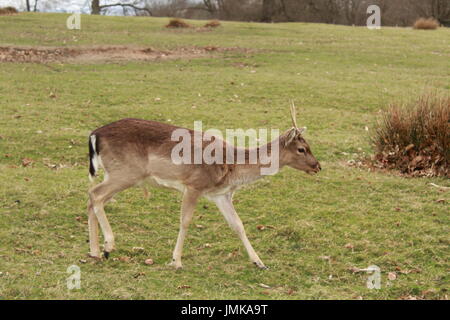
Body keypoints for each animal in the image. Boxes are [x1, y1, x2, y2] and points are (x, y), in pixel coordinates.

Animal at [87, 104, 320, 268]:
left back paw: (95, 251)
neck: (232, 167)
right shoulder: (194, 185)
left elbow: (238, 225)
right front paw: (176, 261)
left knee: (92, 198)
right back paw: (108, 247)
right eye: (301, 149)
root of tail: (94, 135)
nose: (318, 166)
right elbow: (185, 221)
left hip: (115, 173)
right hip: (126, 172)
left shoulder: (221, 195)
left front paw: (259, 262)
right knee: (95, 194)